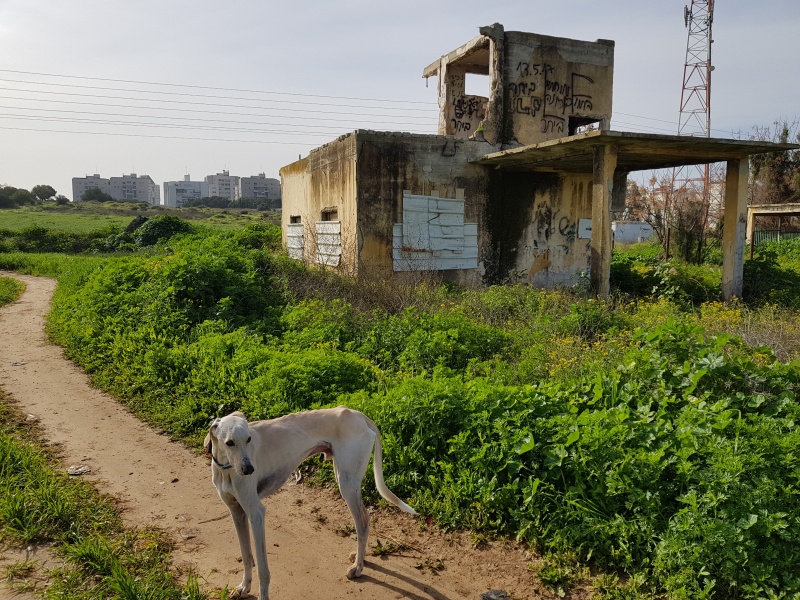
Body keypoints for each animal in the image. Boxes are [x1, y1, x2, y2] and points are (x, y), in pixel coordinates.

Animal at [205, 406, 418, 596]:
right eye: (229, 442)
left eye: (248, 439)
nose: (249, 470)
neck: (227, 469)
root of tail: (357, 414)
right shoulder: (237, 512)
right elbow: (246, 556)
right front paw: (243, 587)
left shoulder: (256, 514)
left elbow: (263, 571)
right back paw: (359, 559)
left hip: (347, 484)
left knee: (363, 523)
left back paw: (357, 567)